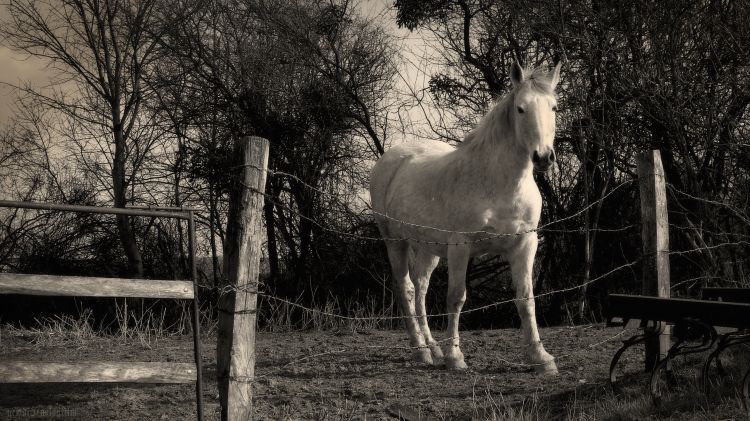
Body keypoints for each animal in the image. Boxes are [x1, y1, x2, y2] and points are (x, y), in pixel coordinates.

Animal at [374, 60, 560, 372]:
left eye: (554, 107)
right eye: (520, 108)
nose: (543, 157)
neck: (499, 183)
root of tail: (391, 159)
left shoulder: (525, 244)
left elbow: (526, 298)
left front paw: (541, 357)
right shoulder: (460, 246)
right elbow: (456, 298)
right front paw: (455, 356)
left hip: (429, 248)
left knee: (421, 289)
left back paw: (433, 347)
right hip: (395, 242)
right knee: (407, 290)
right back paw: (421, 351)